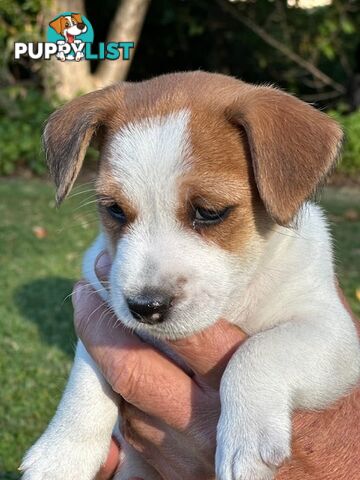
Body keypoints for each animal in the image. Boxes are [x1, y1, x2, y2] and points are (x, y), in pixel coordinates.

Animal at [20, 71, 360, 480]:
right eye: (114, 209)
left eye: (209, 212)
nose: (145, 308)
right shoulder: (102, 312)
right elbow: (86, 376)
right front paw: (61, 453)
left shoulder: (332, 332)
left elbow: (258, 350)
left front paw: (245, 442)